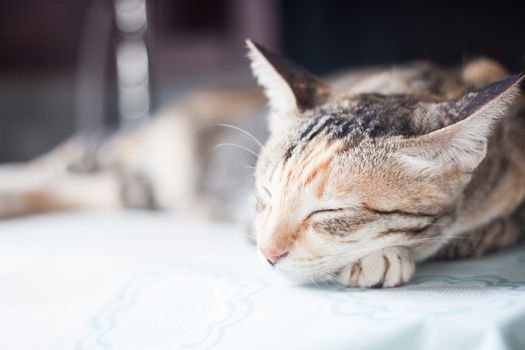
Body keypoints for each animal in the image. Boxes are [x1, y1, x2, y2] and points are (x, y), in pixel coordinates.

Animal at [1, 40, 524, 288]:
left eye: (329, 213)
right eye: (266, 195)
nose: (267, 254)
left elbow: (466, 236)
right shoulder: (246, 217)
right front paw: (381, 257)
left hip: (133, 190)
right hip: (126, 158)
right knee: (59, 165)